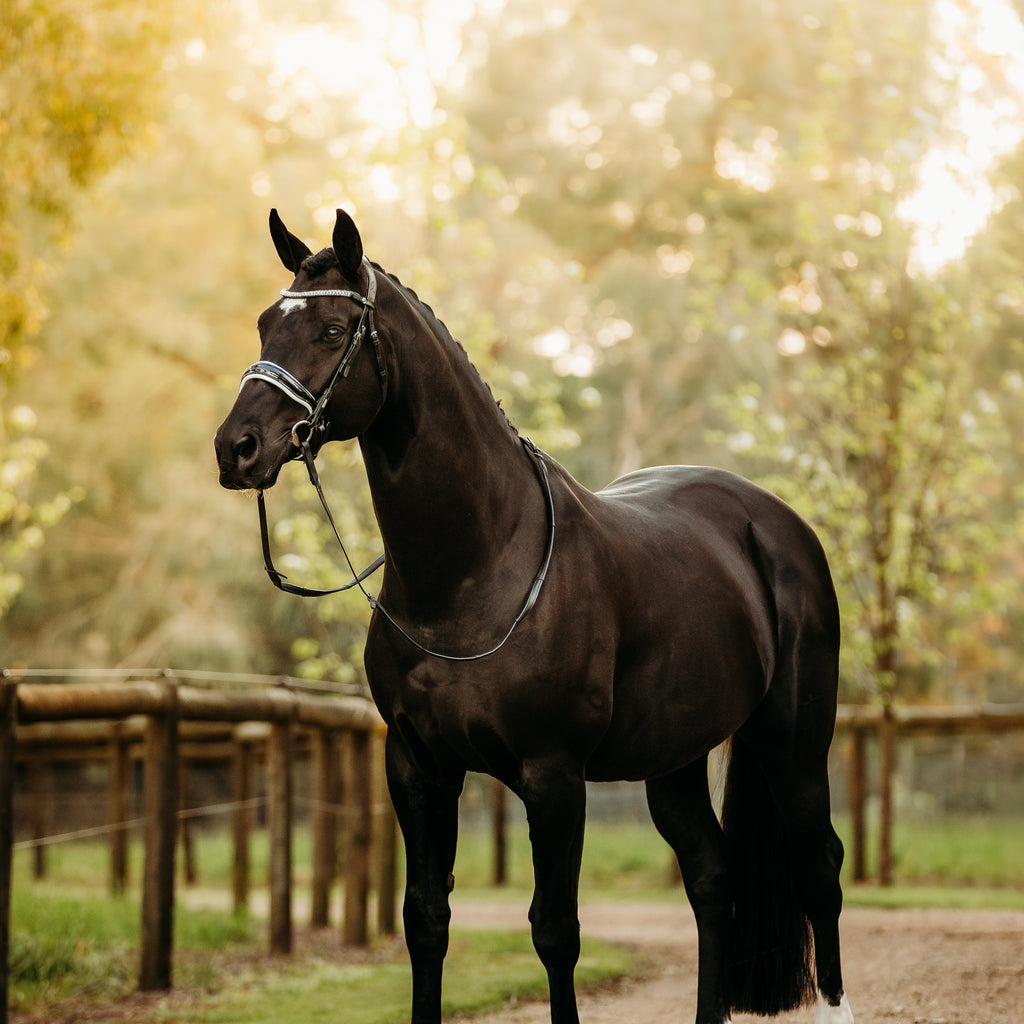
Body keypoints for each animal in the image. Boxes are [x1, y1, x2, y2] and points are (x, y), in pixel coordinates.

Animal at [214, 208, 854, 1024]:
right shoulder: (417, 766)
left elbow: (555, 932)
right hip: (674, 758)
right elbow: (425, 921)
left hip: (792, 741)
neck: (475, 570)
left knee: (820, 869)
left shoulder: (553, 777)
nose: (237, 447)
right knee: (713, 879)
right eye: (268, 323)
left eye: (332, 329)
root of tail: (778, 524)